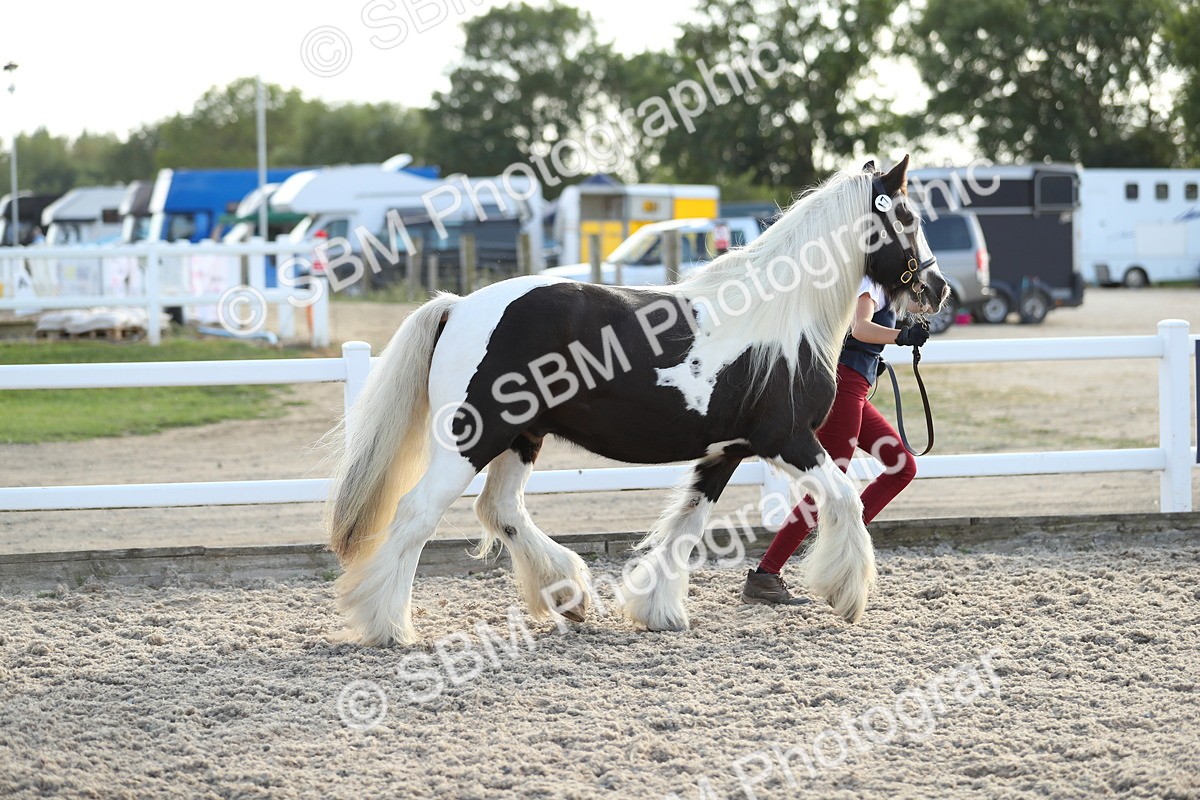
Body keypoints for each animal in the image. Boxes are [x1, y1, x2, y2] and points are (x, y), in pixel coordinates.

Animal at [324, 155, 949, 646]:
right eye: (910, 218)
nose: (938, 289)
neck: (782, 315)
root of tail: (458, 307)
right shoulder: (788, 440)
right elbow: (844, 501)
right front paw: (847, 594)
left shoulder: (725, 451)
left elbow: (687, 526)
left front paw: (657, 611)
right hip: (471, 439)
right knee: (416, 514)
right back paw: (387, 626)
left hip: (522, 437)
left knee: (500, 510)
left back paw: (570, 596)